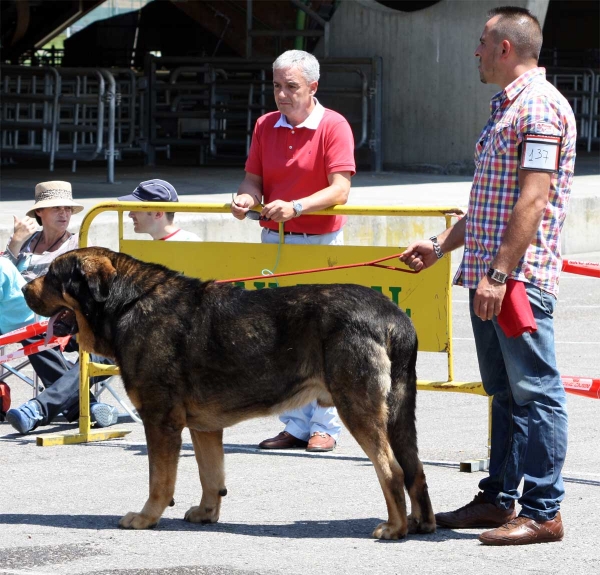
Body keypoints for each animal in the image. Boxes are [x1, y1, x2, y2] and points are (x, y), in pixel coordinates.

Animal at [23, 248, 436, 540]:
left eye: (53, 276)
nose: (25, 287)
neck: (127, 303)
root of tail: (392, 316)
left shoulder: (160, 420)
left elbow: (160, 479)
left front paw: (146, 517)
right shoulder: (204, 428)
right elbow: (210, 475)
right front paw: (206, 514)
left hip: (357, 408)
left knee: (392, 470)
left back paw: (395, 528)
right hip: (398, 413)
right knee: (414, 469)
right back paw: (422, 524)